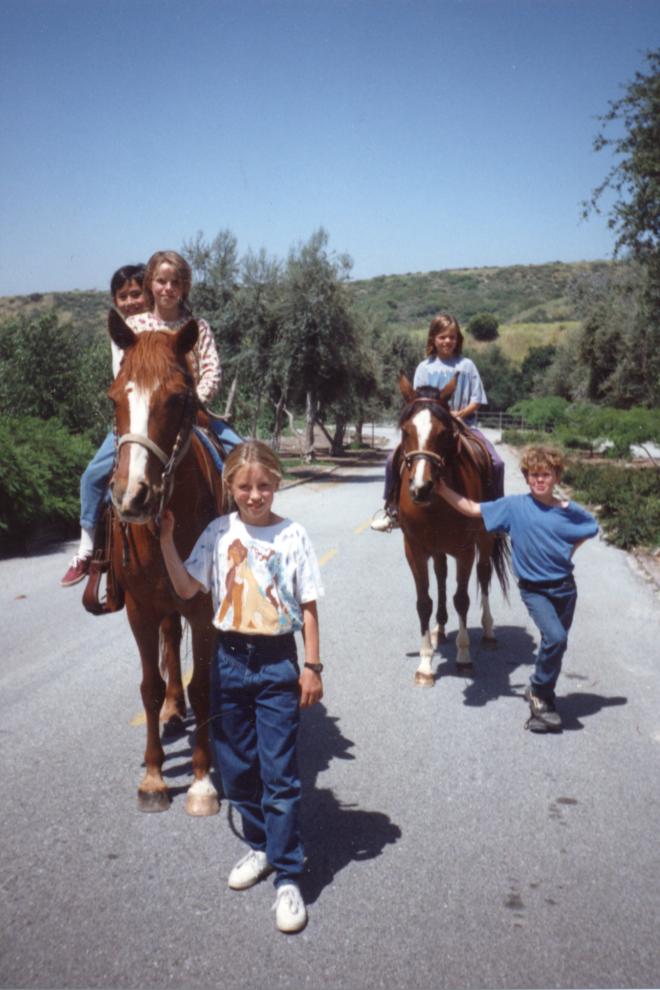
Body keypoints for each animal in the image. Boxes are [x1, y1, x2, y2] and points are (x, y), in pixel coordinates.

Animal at [398, 376, 510, 684]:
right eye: (405, 431)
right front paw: (425, 663)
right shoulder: (415, 549)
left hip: (484, 541)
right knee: (440, 576)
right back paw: (439, 629)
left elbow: (462, 599)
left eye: (444, 432)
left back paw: (488, 631)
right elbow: (423, 601)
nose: (420, 487)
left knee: (483, 576)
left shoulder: (464, 550)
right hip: (438, 549)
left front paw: (463, 657)